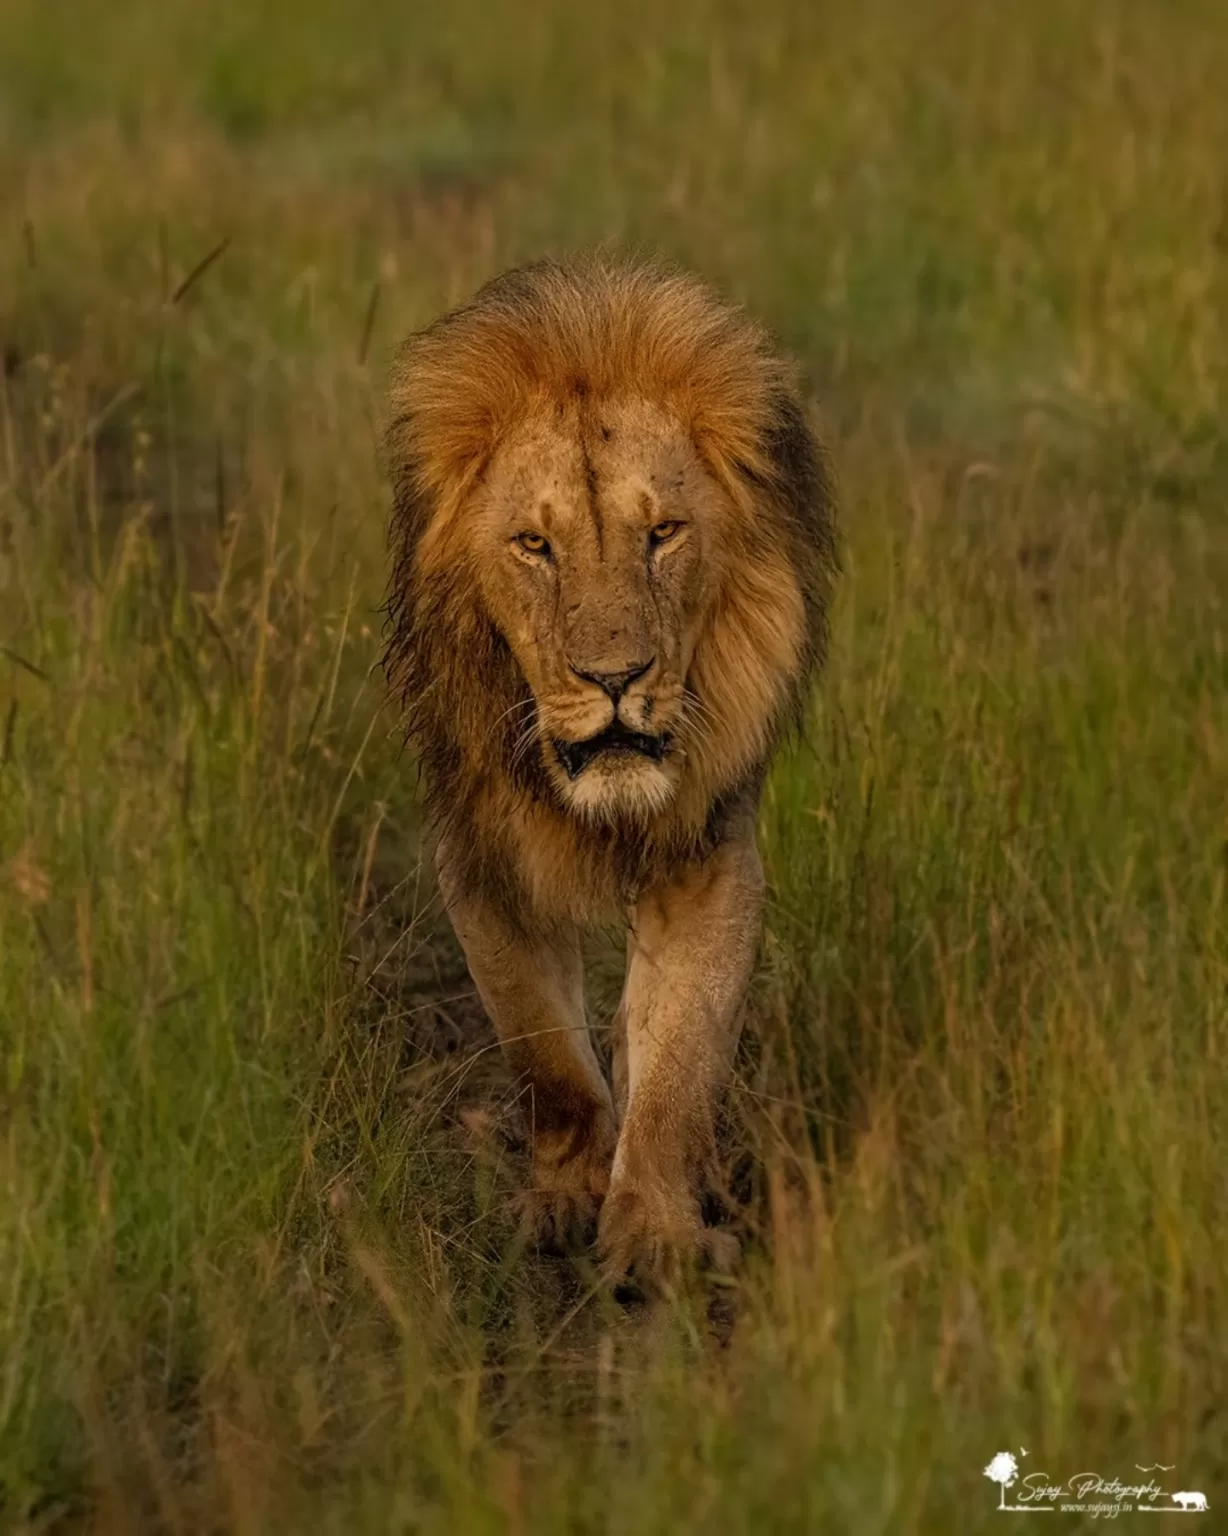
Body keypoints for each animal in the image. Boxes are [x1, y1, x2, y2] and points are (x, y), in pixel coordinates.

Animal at [381, 254, 836, 1284]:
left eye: (662, 534)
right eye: (534, 546)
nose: (617, 679)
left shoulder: (707, 857)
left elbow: (678, 1062)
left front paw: (655, 1232)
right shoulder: (479, 859)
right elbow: (544, 1052)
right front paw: (562, 1199)